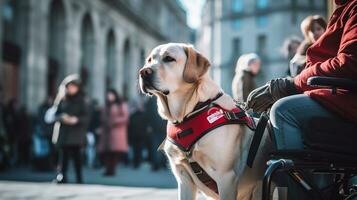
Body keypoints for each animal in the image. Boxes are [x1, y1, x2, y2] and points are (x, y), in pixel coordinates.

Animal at [138, 43, 272, 200]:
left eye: (169, 58)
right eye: (149, 60)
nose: (143, 72)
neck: (189, 112)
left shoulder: (226, 177)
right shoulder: (183, 177)